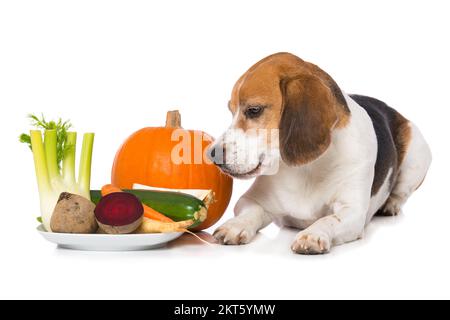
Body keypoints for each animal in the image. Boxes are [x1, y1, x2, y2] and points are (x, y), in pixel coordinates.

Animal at [209, 52, 430, 255]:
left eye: (254, 110)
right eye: (231, 111)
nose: (211, 154)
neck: (307, 169)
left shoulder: (353, 212)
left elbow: (329, 219)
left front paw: (313, 234)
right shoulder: (251, 201)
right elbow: (249, 213)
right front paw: (235, 225)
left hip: (418, 155)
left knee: (401, 192)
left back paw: (390, 205)